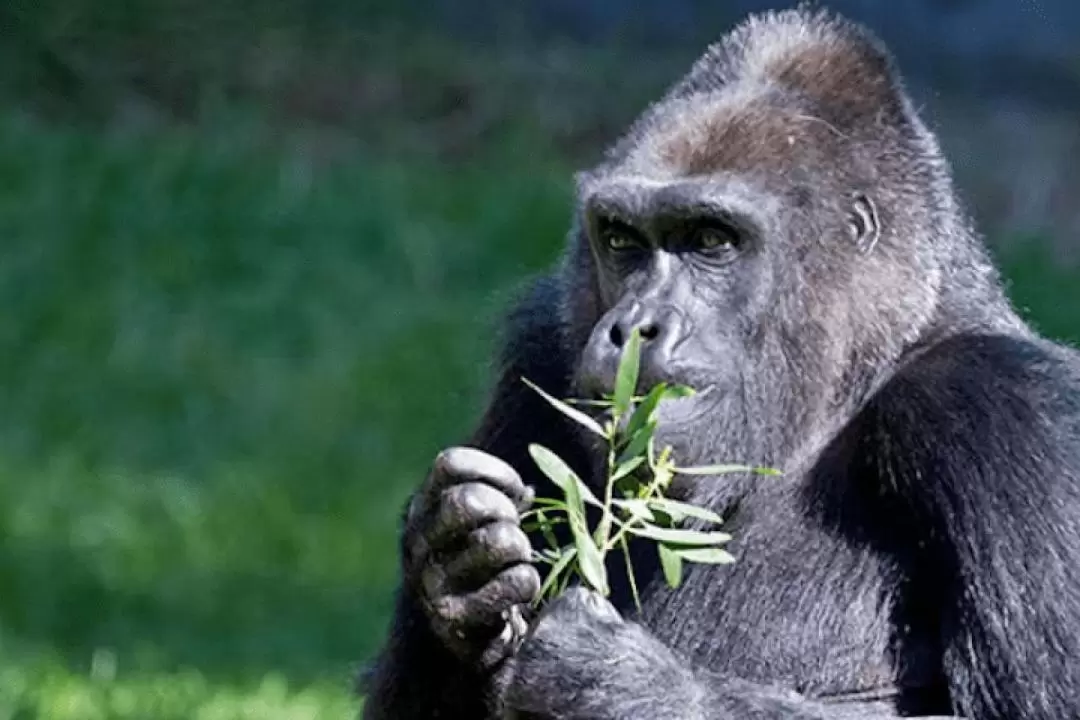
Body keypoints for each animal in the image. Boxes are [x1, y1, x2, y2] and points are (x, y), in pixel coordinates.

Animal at [360, 7, 1080, 720]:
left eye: (712, 240)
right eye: (620, 239)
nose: (634, 327)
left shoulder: (1010, 411)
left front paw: (613, 681)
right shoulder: (538, 353)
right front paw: (454, 562)